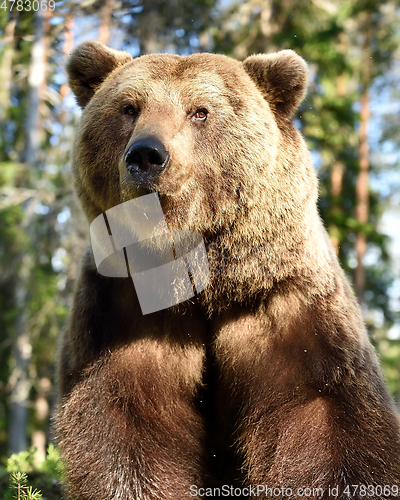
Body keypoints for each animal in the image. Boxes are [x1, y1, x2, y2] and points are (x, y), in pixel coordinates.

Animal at [56, 41, 400, 498]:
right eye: (129, 107)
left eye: (200, 111)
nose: (146, 154)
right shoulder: (122, 310)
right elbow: (126, 420)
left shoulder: (286, 307)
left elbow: (324, 416)